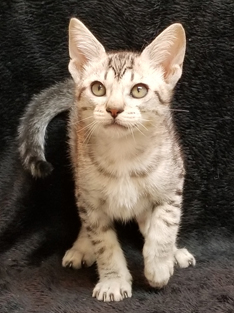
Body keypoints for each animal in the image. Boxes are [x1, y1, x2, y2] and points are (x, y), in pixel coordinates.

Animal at [17, 18, 196, 302]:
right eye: (98, 88)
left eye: (139, 90)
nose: (114, 109)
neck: (123, 155)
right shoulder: (90, 200)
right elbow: (104, 244)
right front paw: (113, 281)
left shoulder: (173, 185)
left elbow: (164, 225)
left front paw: (159, 264)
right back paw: (81, 246)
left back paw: (173, 253)